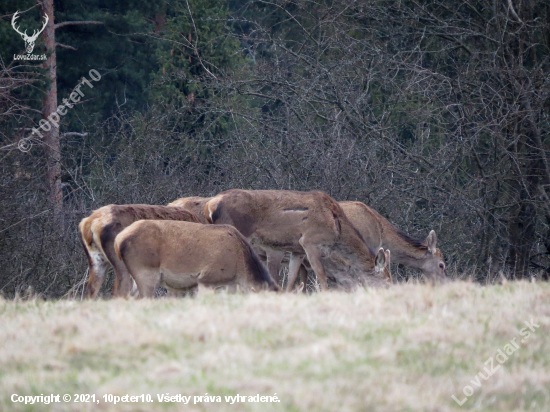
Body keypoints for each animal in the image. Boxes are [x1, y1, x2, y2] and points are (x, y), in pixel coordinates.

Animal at [204, 188, 392, 292]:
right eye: (387, 281)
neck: (337, 227)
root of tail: (210, 206)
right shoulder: (310, 241)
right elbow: (321, 274)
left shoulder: (297, 250)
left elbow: (292, 279)